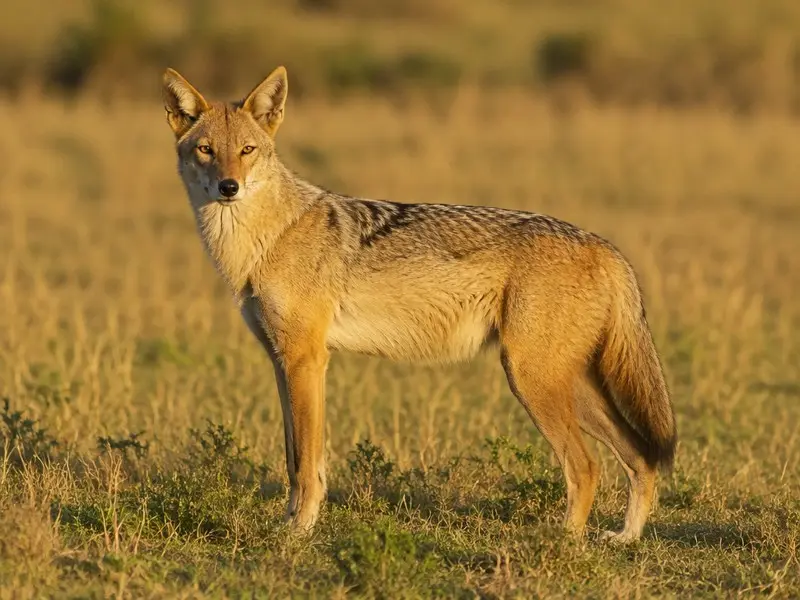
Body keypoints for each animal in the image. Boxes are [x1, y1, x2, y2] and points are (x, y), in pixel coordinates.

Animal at [161, 66, 677, 543]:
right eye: (206, 150)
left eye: (247, 150)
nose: (229, 187)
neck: (265, 240)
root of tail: (605, 246)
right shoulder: (280, 361)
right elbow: (292, 459)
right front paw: (289, 522)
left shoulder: (307, 360)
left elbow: (308, 463)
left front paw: (300, 531)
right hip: (566, 385)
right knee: (640, 457)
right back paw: (624, 538)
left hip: (532, 381)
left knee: (587, 467)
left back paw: (564, 542)